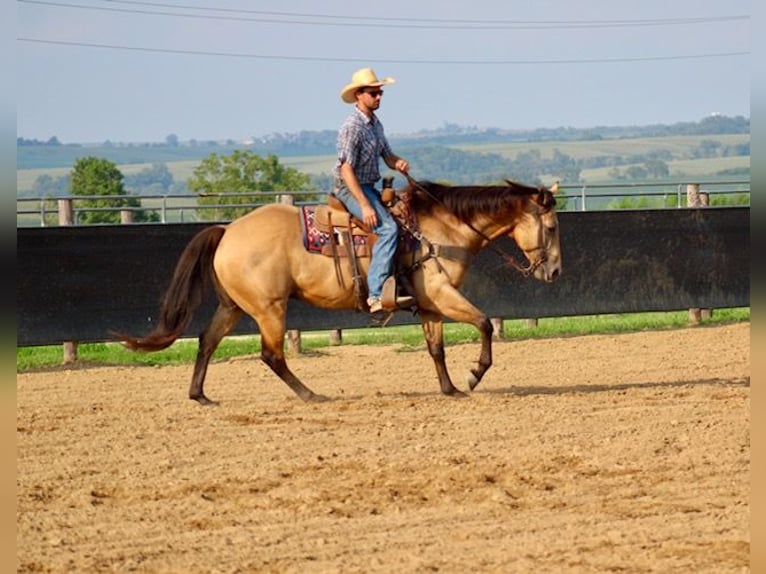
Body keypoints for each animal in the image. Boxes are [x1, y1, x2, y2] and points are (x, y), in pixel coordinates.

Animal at [116, 178, 562, 404]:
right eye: (553, 226)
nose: (555, 271)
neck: (440, 229)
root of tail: (227, 230)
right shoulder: (442, 294)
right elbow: (485, 324)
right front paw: (473, 376)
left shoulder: (431, 303)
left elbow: (436, 348)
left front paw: (450, 388)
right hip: (269, 309)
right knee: (271, 354)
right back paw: (312, 395)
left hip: (235, 307)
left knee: (207, 340)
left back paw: (199, 395)